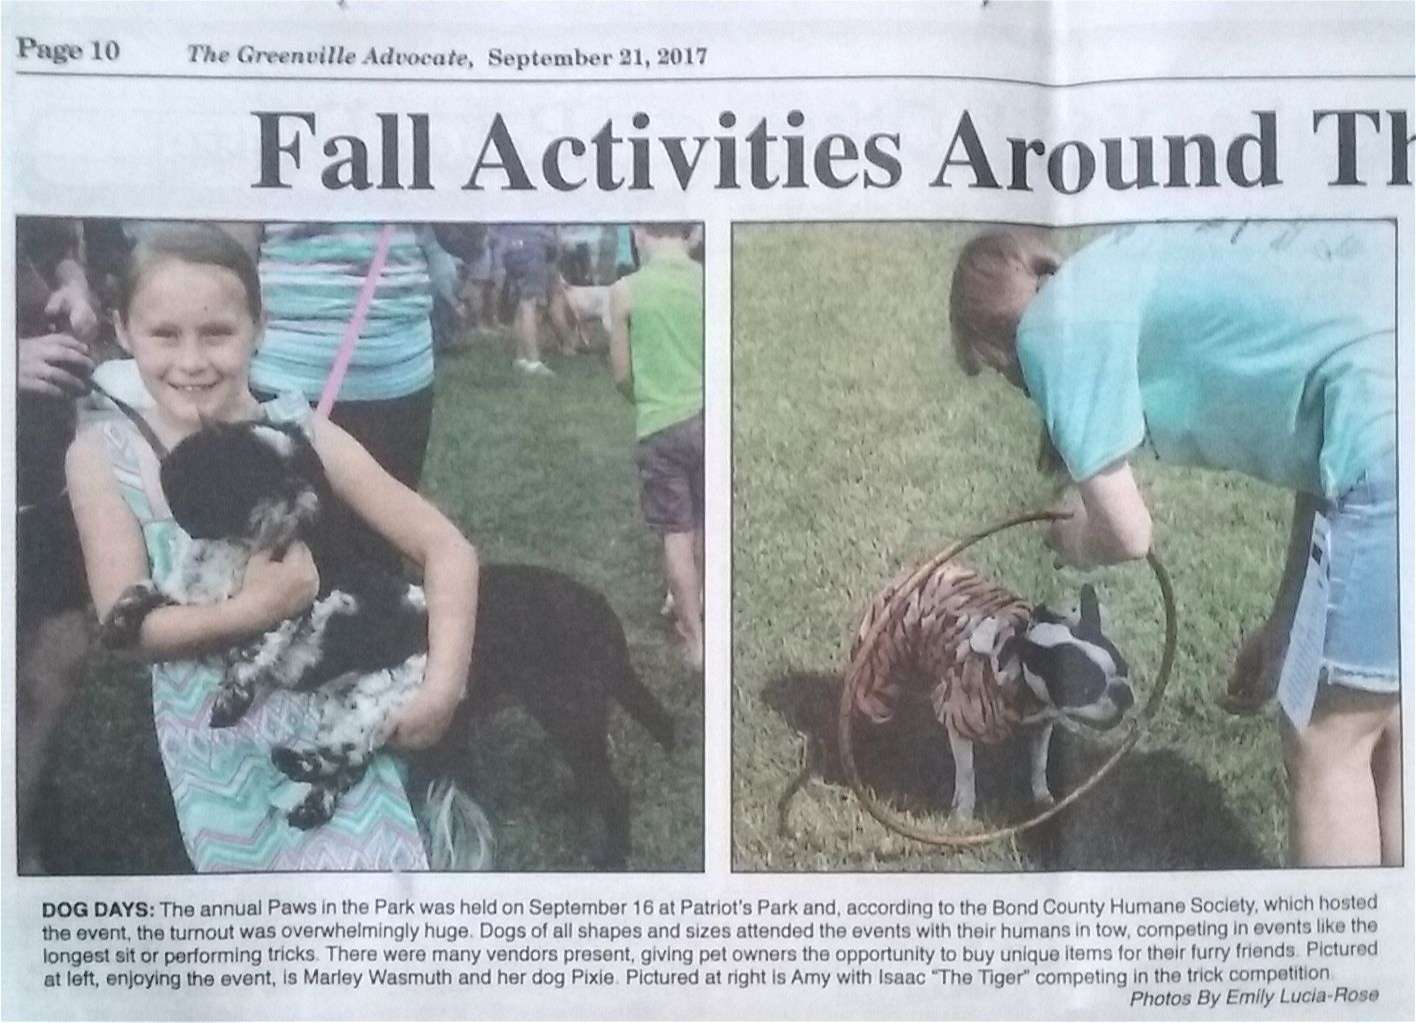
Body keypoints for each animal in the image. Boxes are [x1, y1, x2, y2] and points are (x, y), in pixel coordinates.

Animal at [99, 419, 674, 867]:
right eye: (246, 474)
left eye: (300, 470)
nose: (296, 494)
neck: (232, 556)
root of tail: (599, 607)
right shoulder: (194, 600)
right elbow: (151, 592)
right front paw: (119, 623)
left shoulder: (294, 602)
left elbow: (257, 644)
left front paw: (230, 699)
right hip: (354, 706)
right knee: (347, 766)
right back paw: (309, 803)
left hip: (429, 704)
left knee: (345, 757)